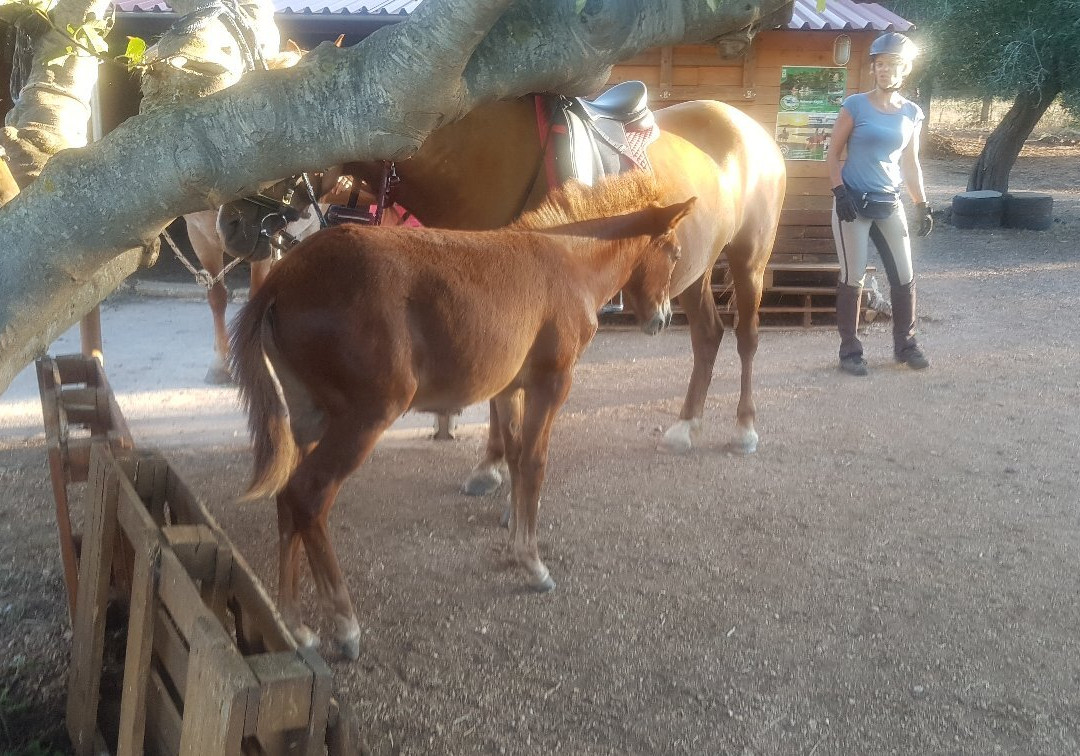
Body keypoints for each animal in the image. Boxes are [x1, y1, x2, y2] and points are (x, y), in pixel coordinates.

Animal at [218, 96, 786, 491]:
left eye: (283, 143)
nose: (231, 223)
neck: (485, 165)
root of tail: (751, 128)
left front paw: (496, 467)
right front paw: (493, 465)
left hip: (749, 259)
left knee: (748, 338)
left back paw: (745, 428)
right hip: (693, 274)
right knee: (707, 337)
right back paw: (686, 425)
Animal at [229, 171, 695, 658]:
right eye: (675, 252)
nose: (662, 319)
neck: (569, 263)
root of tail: (283, 278)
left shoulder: (510, 389)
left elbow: (514, 457)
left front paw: (516, 549)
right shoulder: (552, 383)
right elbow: (534, 463)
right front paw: (534, 565)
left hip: (308, 418)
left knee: (286, 498)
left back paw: (294, 625)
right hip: (365, 418)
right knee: (309, 495)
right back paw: (344, 625)